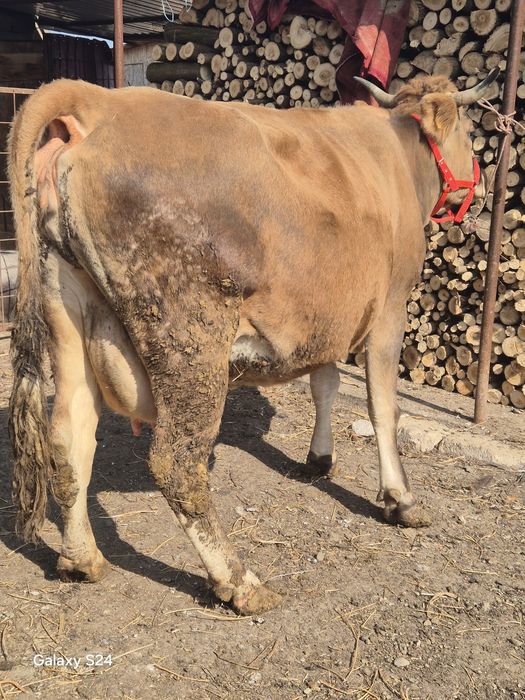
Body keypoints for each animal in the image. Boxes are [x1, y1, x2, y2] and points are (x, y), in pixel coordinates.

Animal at [8, 70, 498, 614]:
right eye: (470, 133)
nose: (479, 186)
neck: (399, 157)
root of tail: (97, 100)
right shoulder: (390, 307)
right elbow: (383, 408)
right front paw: (401, 499)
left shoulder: (323, 318)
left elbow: (325, 385)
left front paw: (319, 460)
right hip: (190, 336)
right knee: (177, 462)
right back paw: (238, 581)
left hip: (66, 308)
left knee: (67, 437)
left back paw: (82, 559)